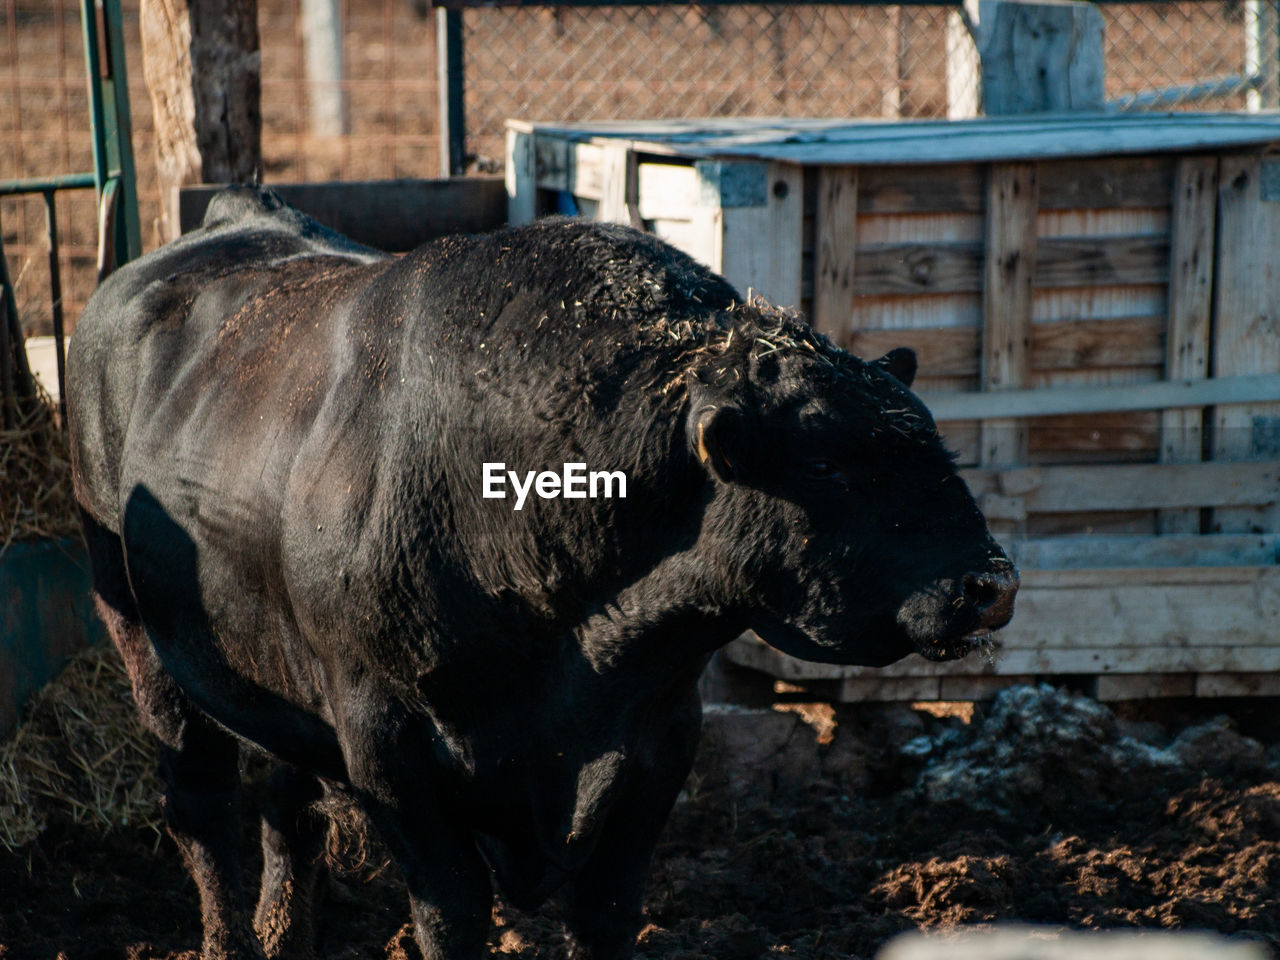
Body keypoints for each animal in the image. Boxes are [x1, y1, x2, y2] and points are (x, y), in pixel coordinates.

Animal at [70, 188, 1013, 960]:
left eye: (929, 439)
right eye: (825, 465)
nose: (992, 584)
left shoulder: (659, 737)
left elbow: (605, 910)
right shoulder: (388, 747)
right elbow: (451, 915)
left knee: (285, 808)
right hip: (140, 635)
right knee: (202, 807)